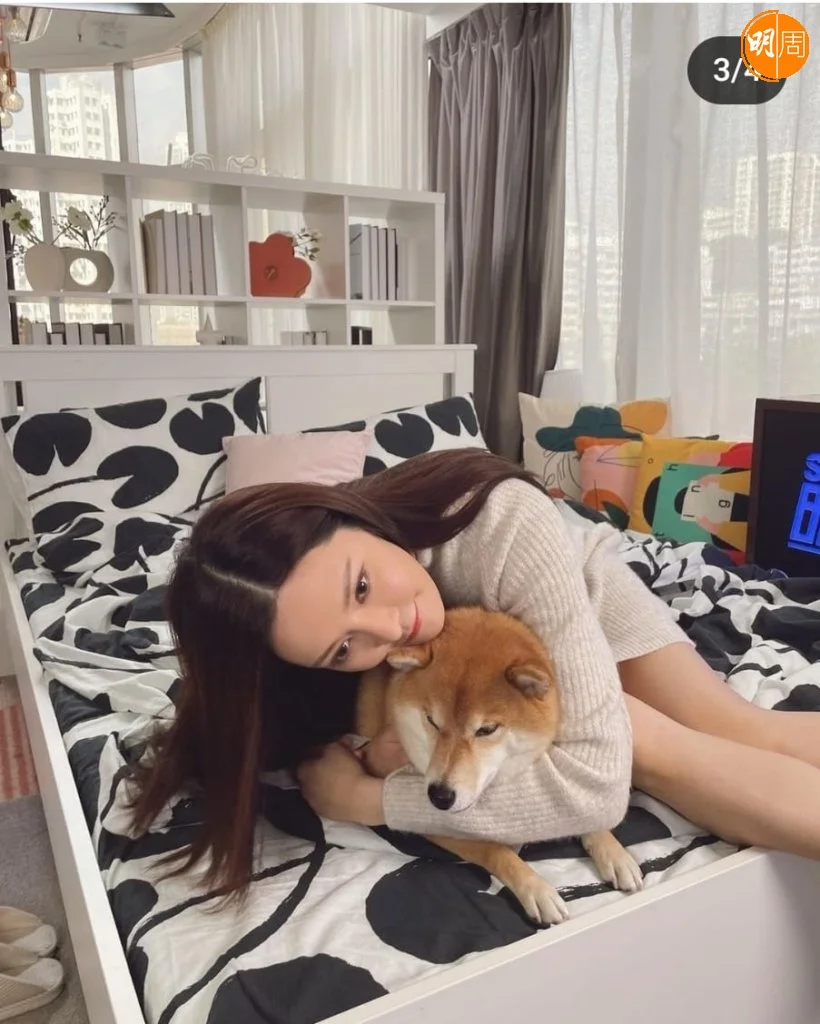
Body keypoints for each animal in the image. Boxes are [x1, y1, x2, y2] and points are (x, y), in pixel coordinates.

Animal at [354, 606, 643, 926]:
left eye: (486, 729)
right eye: (431, 721)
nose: (439, 797)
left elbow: (588, 809)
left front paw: (613, 852)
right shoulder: (429, 825)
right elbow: (496, 852)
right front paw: (537, 889)